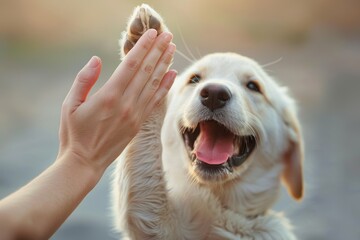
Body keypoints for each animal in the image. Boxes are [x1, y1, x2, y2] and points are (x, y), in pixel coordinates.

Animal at [112, 4, 304, 240]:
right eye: (194, 79)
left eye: (253, 86)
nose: (214, 94)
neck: (220, 206)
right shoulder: (159, 224)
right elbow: (146, 179)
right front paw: (144, 40)